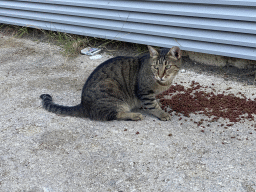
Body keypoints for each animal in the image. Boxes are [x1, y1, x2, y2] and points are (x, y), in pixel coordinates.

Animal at [40, 45, 182, 121]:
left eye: (167, 67)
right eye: (156, 67)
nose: (160, 75)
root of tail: (83, 104)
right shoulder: (144, 92)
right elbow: (153, 105)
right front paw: (162, 114)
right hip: (111, 89)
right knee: (115, 114)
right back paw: (134, 115)